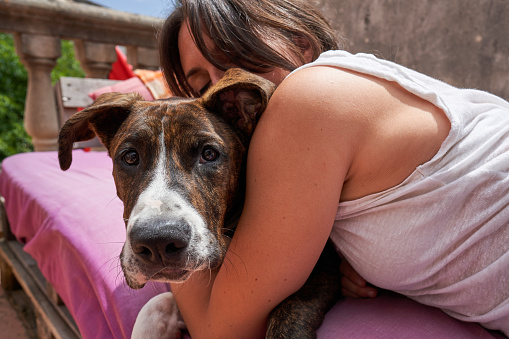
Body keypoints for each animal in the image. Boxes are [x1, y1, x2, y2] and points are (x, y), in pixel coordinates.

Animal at [57, 67, 342, 338]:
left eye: (209, 154)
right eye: (129, 157)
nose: (157, 242)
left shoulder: (325, 265)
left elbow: (292, 308)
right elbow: (152, 308)